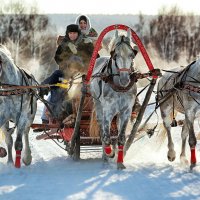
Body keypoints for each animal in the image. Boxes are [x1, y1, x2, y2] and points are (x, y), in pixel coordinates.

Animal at [90, 29, 138, 169]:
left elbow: (121, 137)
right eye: (115, 55)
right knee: (102, 131)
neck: (119, 87)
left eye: (132, 55)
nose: (125, 79)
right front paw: (110, 153)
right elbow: (106, 137)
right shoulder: (108, 111)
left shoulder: (126, 112)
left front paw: (120, 162)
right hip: (98, 106)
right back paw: (105, 157)